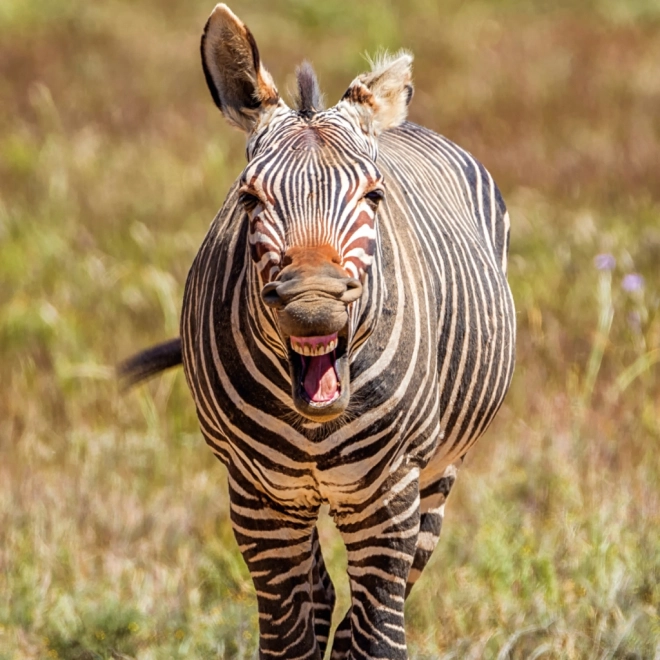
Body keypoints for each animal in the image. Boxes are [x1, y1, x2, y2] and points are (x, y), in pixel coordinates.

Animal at [122, 2, 516, 656]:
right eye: (249, 199)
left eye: (374, 196)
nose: (313, 308)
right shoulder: (258, 498)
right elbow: (289, 639)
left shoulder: (391, 494)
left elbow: (376, 638)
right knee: (327, 598)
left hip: (437, 475)